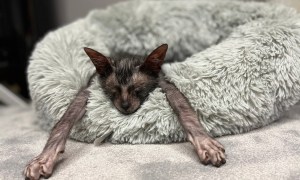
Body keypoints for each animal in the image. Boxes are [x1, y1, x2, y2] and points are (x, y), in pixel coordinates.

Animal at [24, 44, 225, 180]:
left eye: (138, 90)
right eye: (113, 91)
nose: (125, 105)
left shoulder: (166, 85)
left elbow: (185, 111)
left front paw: (205, 143)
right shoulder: (87, 91)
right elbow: (63, 122)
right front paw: (43, 159)